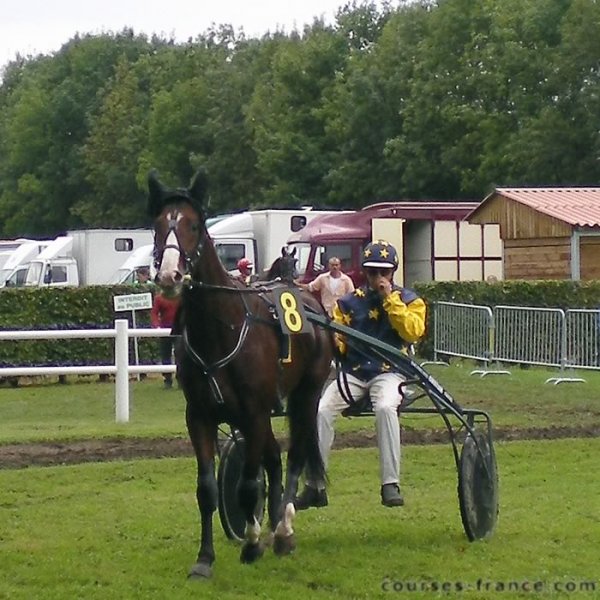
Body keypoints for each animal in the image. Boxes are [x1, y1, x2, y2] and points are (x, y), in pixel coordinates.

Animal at [146, 168, 332, 576]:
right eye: (158, 225)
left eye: (193, 225)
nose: (170, 275)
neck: (222, 329)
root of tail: (312, 302)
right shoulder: (199, 415)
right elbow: (207, 489)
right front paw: (204, 559)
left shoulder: (254, 412)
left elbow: (248, 485)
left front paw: (251, 543)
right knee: (274, 459)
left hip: (305, 395)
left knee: (294, 455)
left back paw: (283, 529)